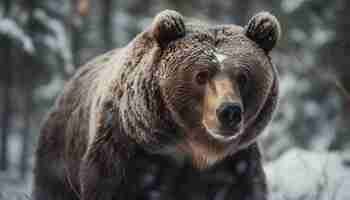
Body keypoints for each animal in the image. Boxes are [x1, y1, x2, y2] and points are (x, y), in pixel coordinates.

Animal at [32, 9, 278, 200]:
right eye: (201, 75)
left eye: (243, 77)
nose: (229, 111)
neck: (195, 150)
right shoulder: (126, 154)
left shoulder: (235, 164)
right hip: (60, 155)